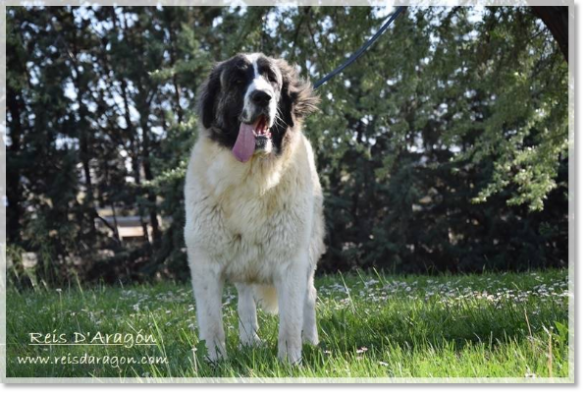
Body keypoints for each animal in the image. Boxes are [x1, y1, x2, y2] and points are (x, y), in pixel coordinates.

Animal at [184, 53, 324, 364]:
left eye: (272, 79)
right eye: (237, 81)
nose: (262, 97)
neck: (252, 174)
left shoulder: (291, 261)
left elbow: (291, 321)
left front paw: (290, 362)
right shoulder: (205, 262)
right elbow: (212, 322)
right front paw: (216, 362)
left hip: (309, 252)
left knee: (309, 296)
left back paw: (311, 341)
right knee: (245, 296)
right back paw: (249, 339)